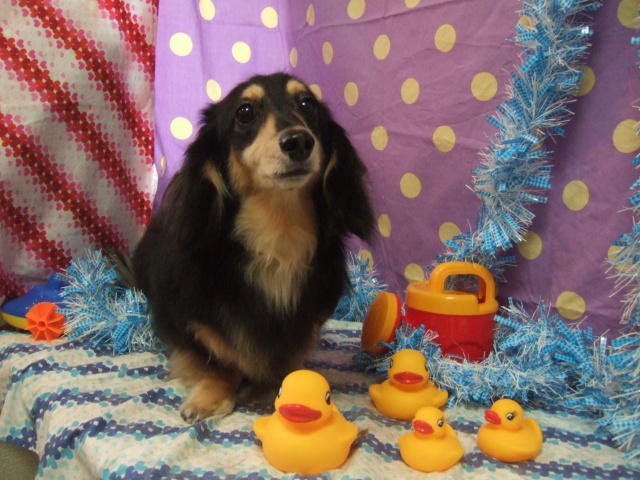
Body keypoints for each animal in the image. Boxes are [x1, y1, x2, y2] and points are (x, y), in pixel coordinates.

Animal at [132, 73, 374, 422]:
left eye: (307, 105)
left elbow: (291, 357)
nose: (299, 141)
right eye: (245, 112)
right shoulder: (184, 317)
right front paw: (211, 396)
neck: (278, 238)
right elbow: (215, 358)